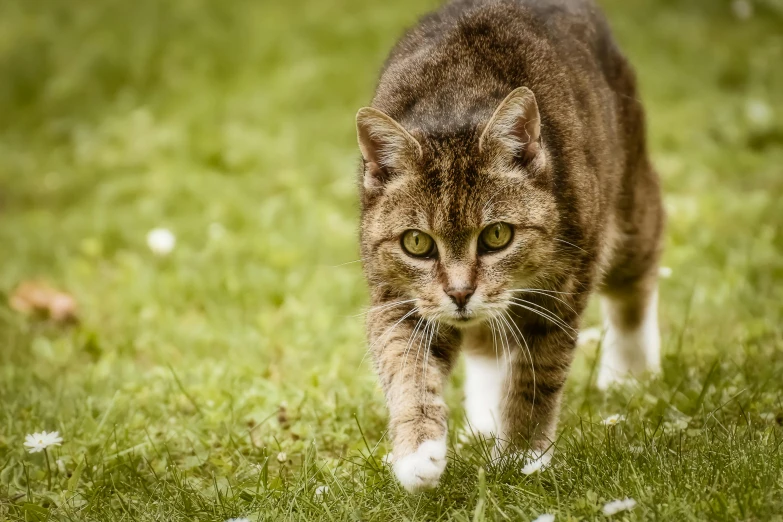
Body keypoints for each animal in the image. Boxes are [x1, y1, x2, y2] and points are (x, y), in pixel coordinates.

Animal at [358, 0, 664, 490]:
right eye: (417, 243)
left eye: (497, 235)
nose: (459, 293)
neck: (456, 100)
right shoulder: (398, 300)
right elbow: (407, 370)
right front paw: (417, 453)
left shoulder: (559, 294)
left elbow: (535, 377)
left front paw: (522, 455)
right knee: (487, 342)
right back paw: (484, 416)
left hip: (631, 208)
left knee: (635, 284)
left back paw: (630, 371)